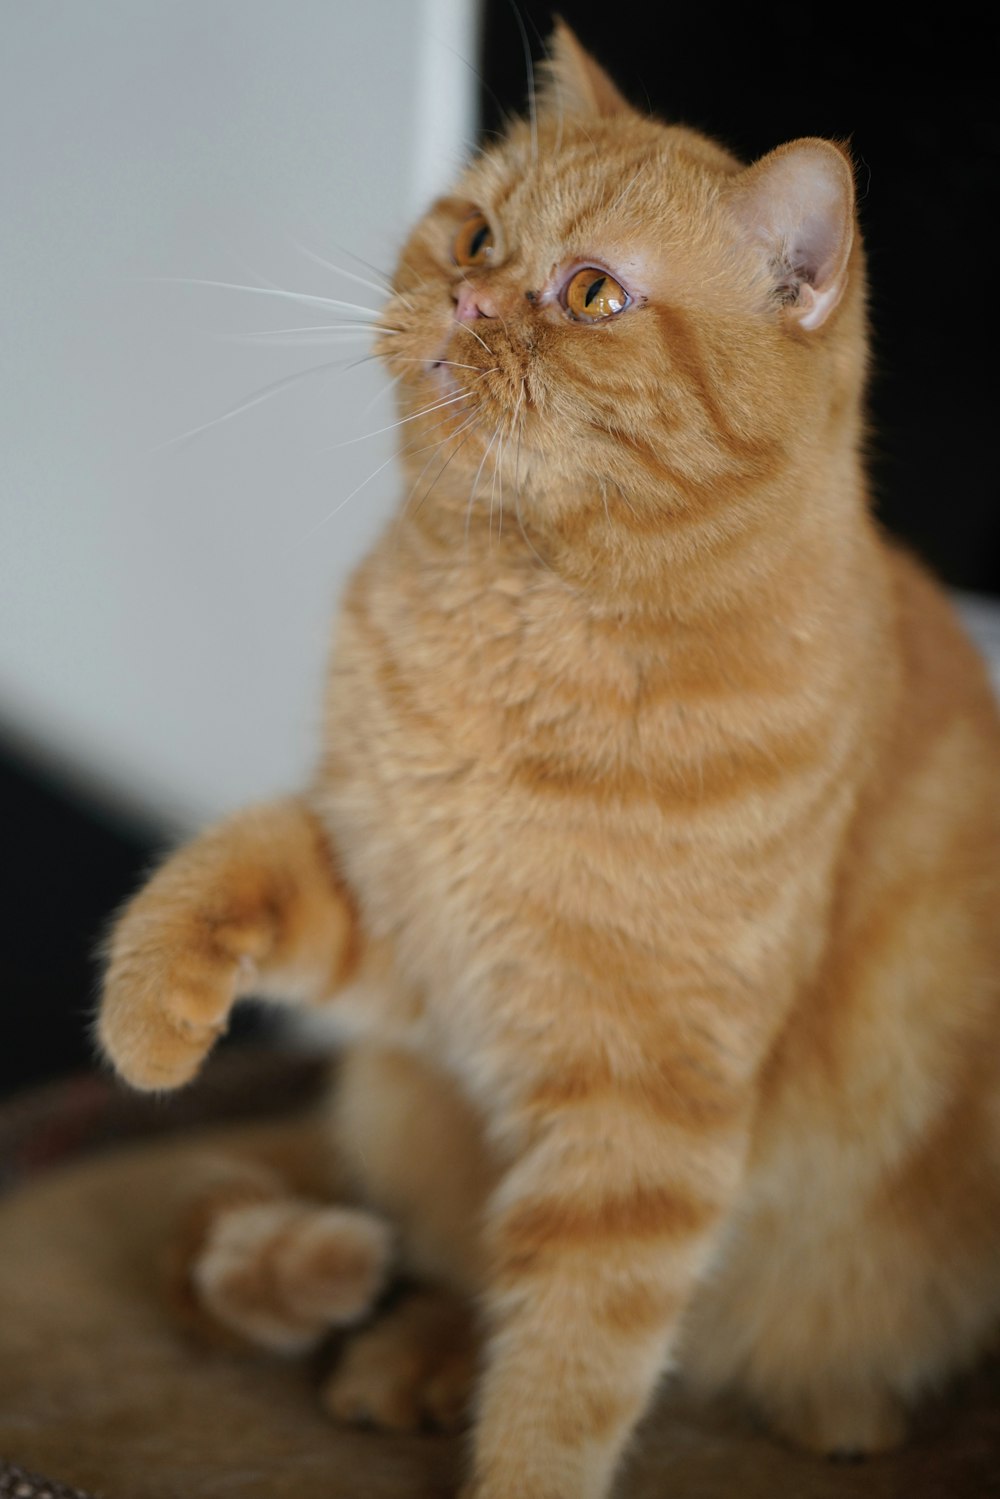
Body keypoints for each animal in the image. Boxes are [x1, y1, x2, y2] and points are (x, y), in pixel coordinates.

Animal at [97, 26, 1000, 1499]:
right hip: (404, 1100)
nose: (470, 299)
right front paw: (146, 1020)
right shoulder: (410, 921)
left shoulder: (639, 1103)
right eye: (472, 233)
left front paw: (517, 1462)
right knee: (458, 1270)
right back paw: (403, 1359)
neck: (518, 614)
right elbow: (215, 868)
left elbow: (569, 1367)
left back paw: (842, 1405)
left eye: (590, 292)